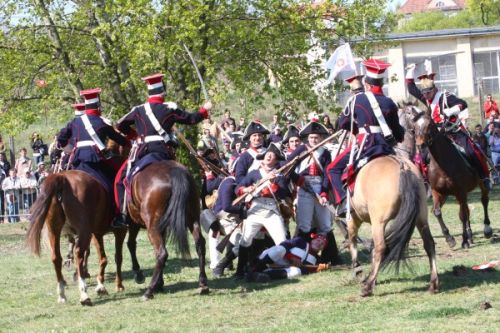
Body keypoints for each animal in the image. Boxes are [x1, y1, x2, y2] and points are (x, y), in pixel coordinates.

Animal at [25, 170, 128, 304]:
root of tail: (62, 177)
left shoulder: (96, 233)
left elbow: (103, 258)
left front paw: (101, 285)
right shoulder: (119, 230)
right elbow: (118, 258)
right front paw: (119, 285)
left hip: (55, 231)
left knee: (56, 257)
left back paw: (62, 293)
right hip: (84, 231)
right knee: (78, 253)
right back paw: (84, 293)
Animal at [126, 160, 210, 300]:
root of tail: (175, 171)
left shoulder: (134, 222)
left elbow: (131, 244)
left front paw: (140, 275)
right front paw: (160, 283)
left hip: (152, 227)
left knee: (161, 253)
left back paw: (149, 291)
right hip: (192, 217)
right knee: (200, 244)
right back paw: (202, 283)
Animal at [348, 155, 438, 296]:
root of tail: (403, 167)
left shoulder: (354, 219)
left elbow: (353, 241)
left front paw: (360, 272)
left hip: (378, 223)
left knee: (380, 248)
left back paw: (367, 288)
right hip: (421, 218)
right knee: (429, 243)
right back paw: (433, 283)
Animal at [410, 105, 492, 248]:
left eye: (429, 125)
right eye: (414, 127)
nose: (421, 146)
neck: (443, 164)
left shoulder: (460, 192)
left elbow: (463, 215)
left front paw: (464, 240)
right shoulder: (437, 192)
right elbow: (437, 212)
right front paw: (450, 239)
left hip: (481, 184)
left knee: (483, 201)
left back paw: (486, 229)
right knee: (464, 209)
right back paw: (470, 235)